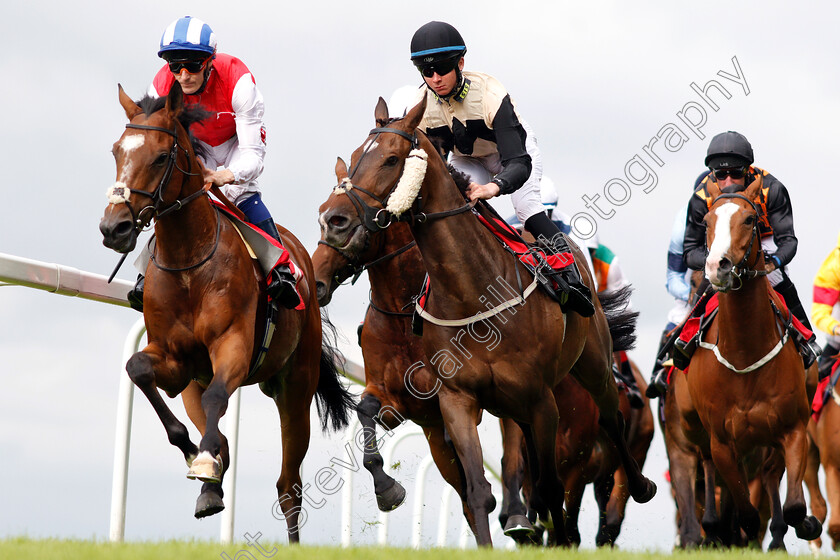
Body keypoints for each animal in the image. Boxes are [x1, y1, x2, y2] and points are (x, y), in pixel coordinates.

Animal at [99, 82, 354, 540]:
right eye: (116, 151)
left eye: (161, 156)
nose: (114, 228)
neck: (189, 262)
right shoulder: (176, 361)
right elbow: (138, 369)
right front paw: (194, 453)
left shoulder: (233, 344)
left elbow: (220, 394)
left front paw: (202, 459)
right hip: (196, 384)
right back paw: (210, 483)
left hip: (295, 386)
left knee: (288, 483)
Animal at [316, 97, 656, 548]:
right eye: (354, 158)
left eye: (391, 159)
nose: (331, 220)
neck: (469, 289)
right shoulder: (451, 401)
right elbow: (475, 488)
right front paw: (391, 491)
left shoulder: (539, 400)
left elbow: (549, 488)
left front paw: (554, 535)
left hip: (593, 365)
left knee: (610, 421)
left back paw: (639, 486)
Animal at [684, 178, 820, 544]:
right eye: (706, 222)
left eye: (749, 219)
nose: (718, 266)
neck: (744, 353)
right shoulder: (722, 443)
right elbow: (745, 512)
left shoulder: (793, 429)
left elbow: (794, 507)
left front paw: (807, 523)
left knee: (772, 476)